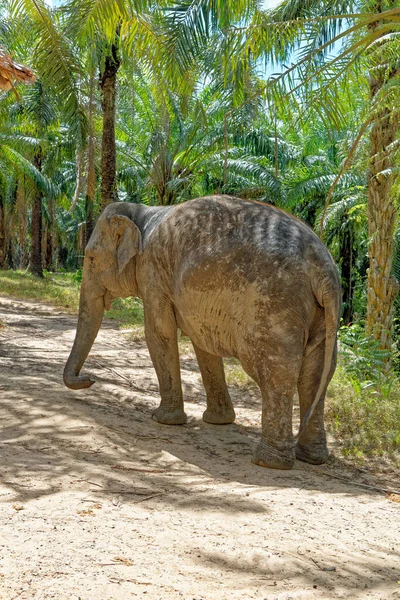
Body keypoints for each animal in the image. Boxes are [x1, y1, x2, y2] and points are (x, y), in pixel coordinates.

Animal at [63, 196, 340, 468]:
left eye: (91, 258)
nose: (89, 378)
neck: (142, 213)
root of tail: (323, 268)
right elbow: (202, 342)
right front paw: (218, 420)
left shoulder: (153, 272)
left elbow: (158, 332)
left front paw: (163, 419)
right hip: (321, 315)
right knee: (315, 376)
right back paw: (312, 457)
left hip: (273, 305)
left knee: (276, 373)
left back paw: (268, 461)